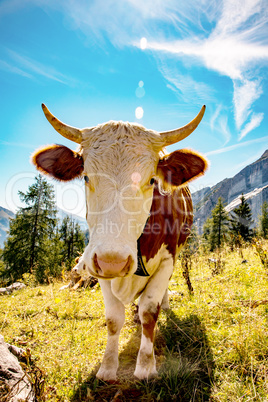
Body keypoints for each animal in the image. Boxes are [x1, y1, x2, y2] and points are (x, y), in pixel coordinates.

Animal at [31, 103, 207, 380]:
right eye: (86, 177)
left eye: (151, 180)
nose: (113, 261)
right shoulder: (97, 262)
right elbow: (113, 318)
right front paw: (107, 367)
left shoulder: (167, 258)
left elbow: (149, 311)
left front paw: (145, 367)